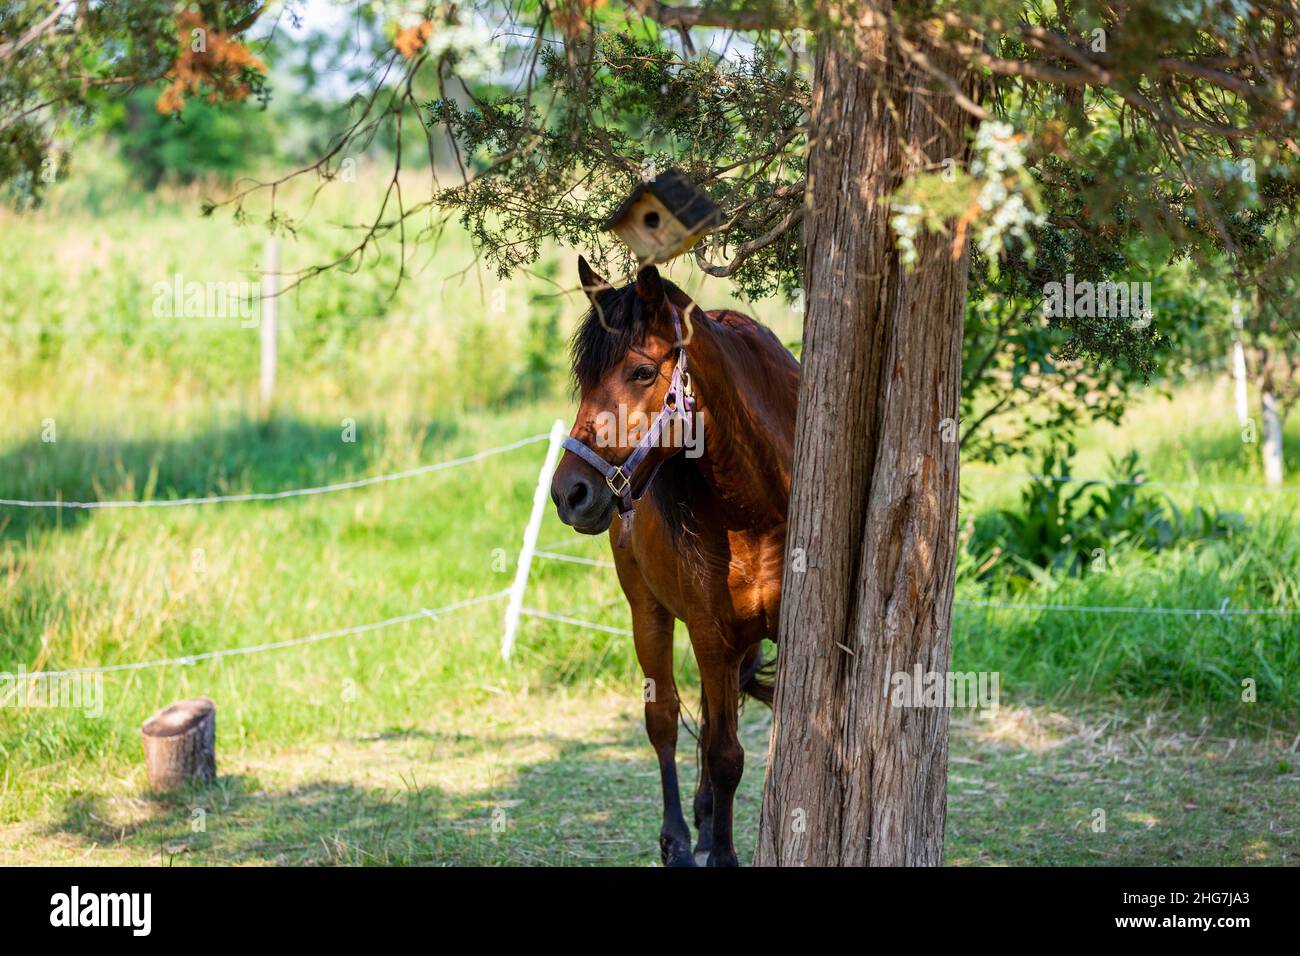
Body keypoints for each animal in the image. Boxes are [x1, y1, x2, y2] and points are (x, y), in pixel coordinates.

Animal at [546, 256, 795, 868]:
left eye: (640, 372)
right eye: (583, 377)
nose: (570, 494)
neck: (756, 504)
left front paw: (719, 838)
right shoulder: (709, 631)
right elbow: (725, 754)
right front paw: (722, 853)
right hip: (648, 614)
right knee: (664, 722)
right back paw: (680, 839)